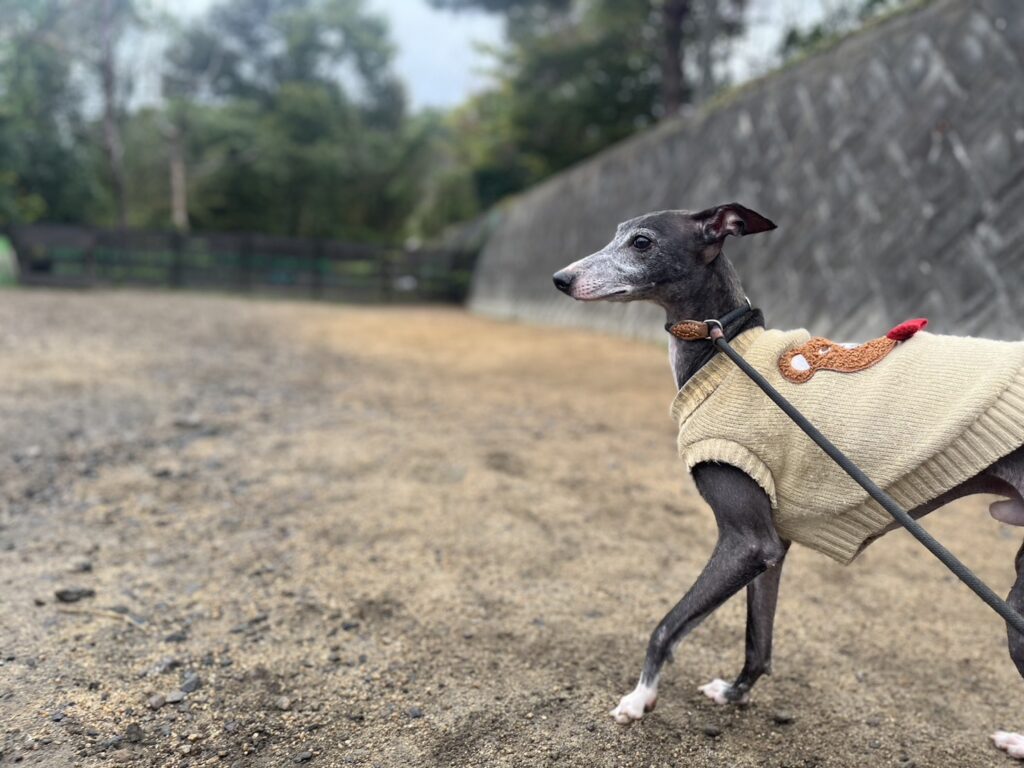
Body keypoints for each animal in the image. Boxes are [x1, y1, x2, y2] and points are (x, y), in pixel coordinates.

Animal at [552, 203, 1024, 759]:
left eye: (641, 242)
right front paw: (732, 694)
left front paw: (638, 699)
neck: (723, 348)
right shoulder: (772, 545)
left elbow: (666, 626)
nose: (560, 279)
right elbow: (759, 644)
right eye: (616, 234)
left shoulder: (745, 541)